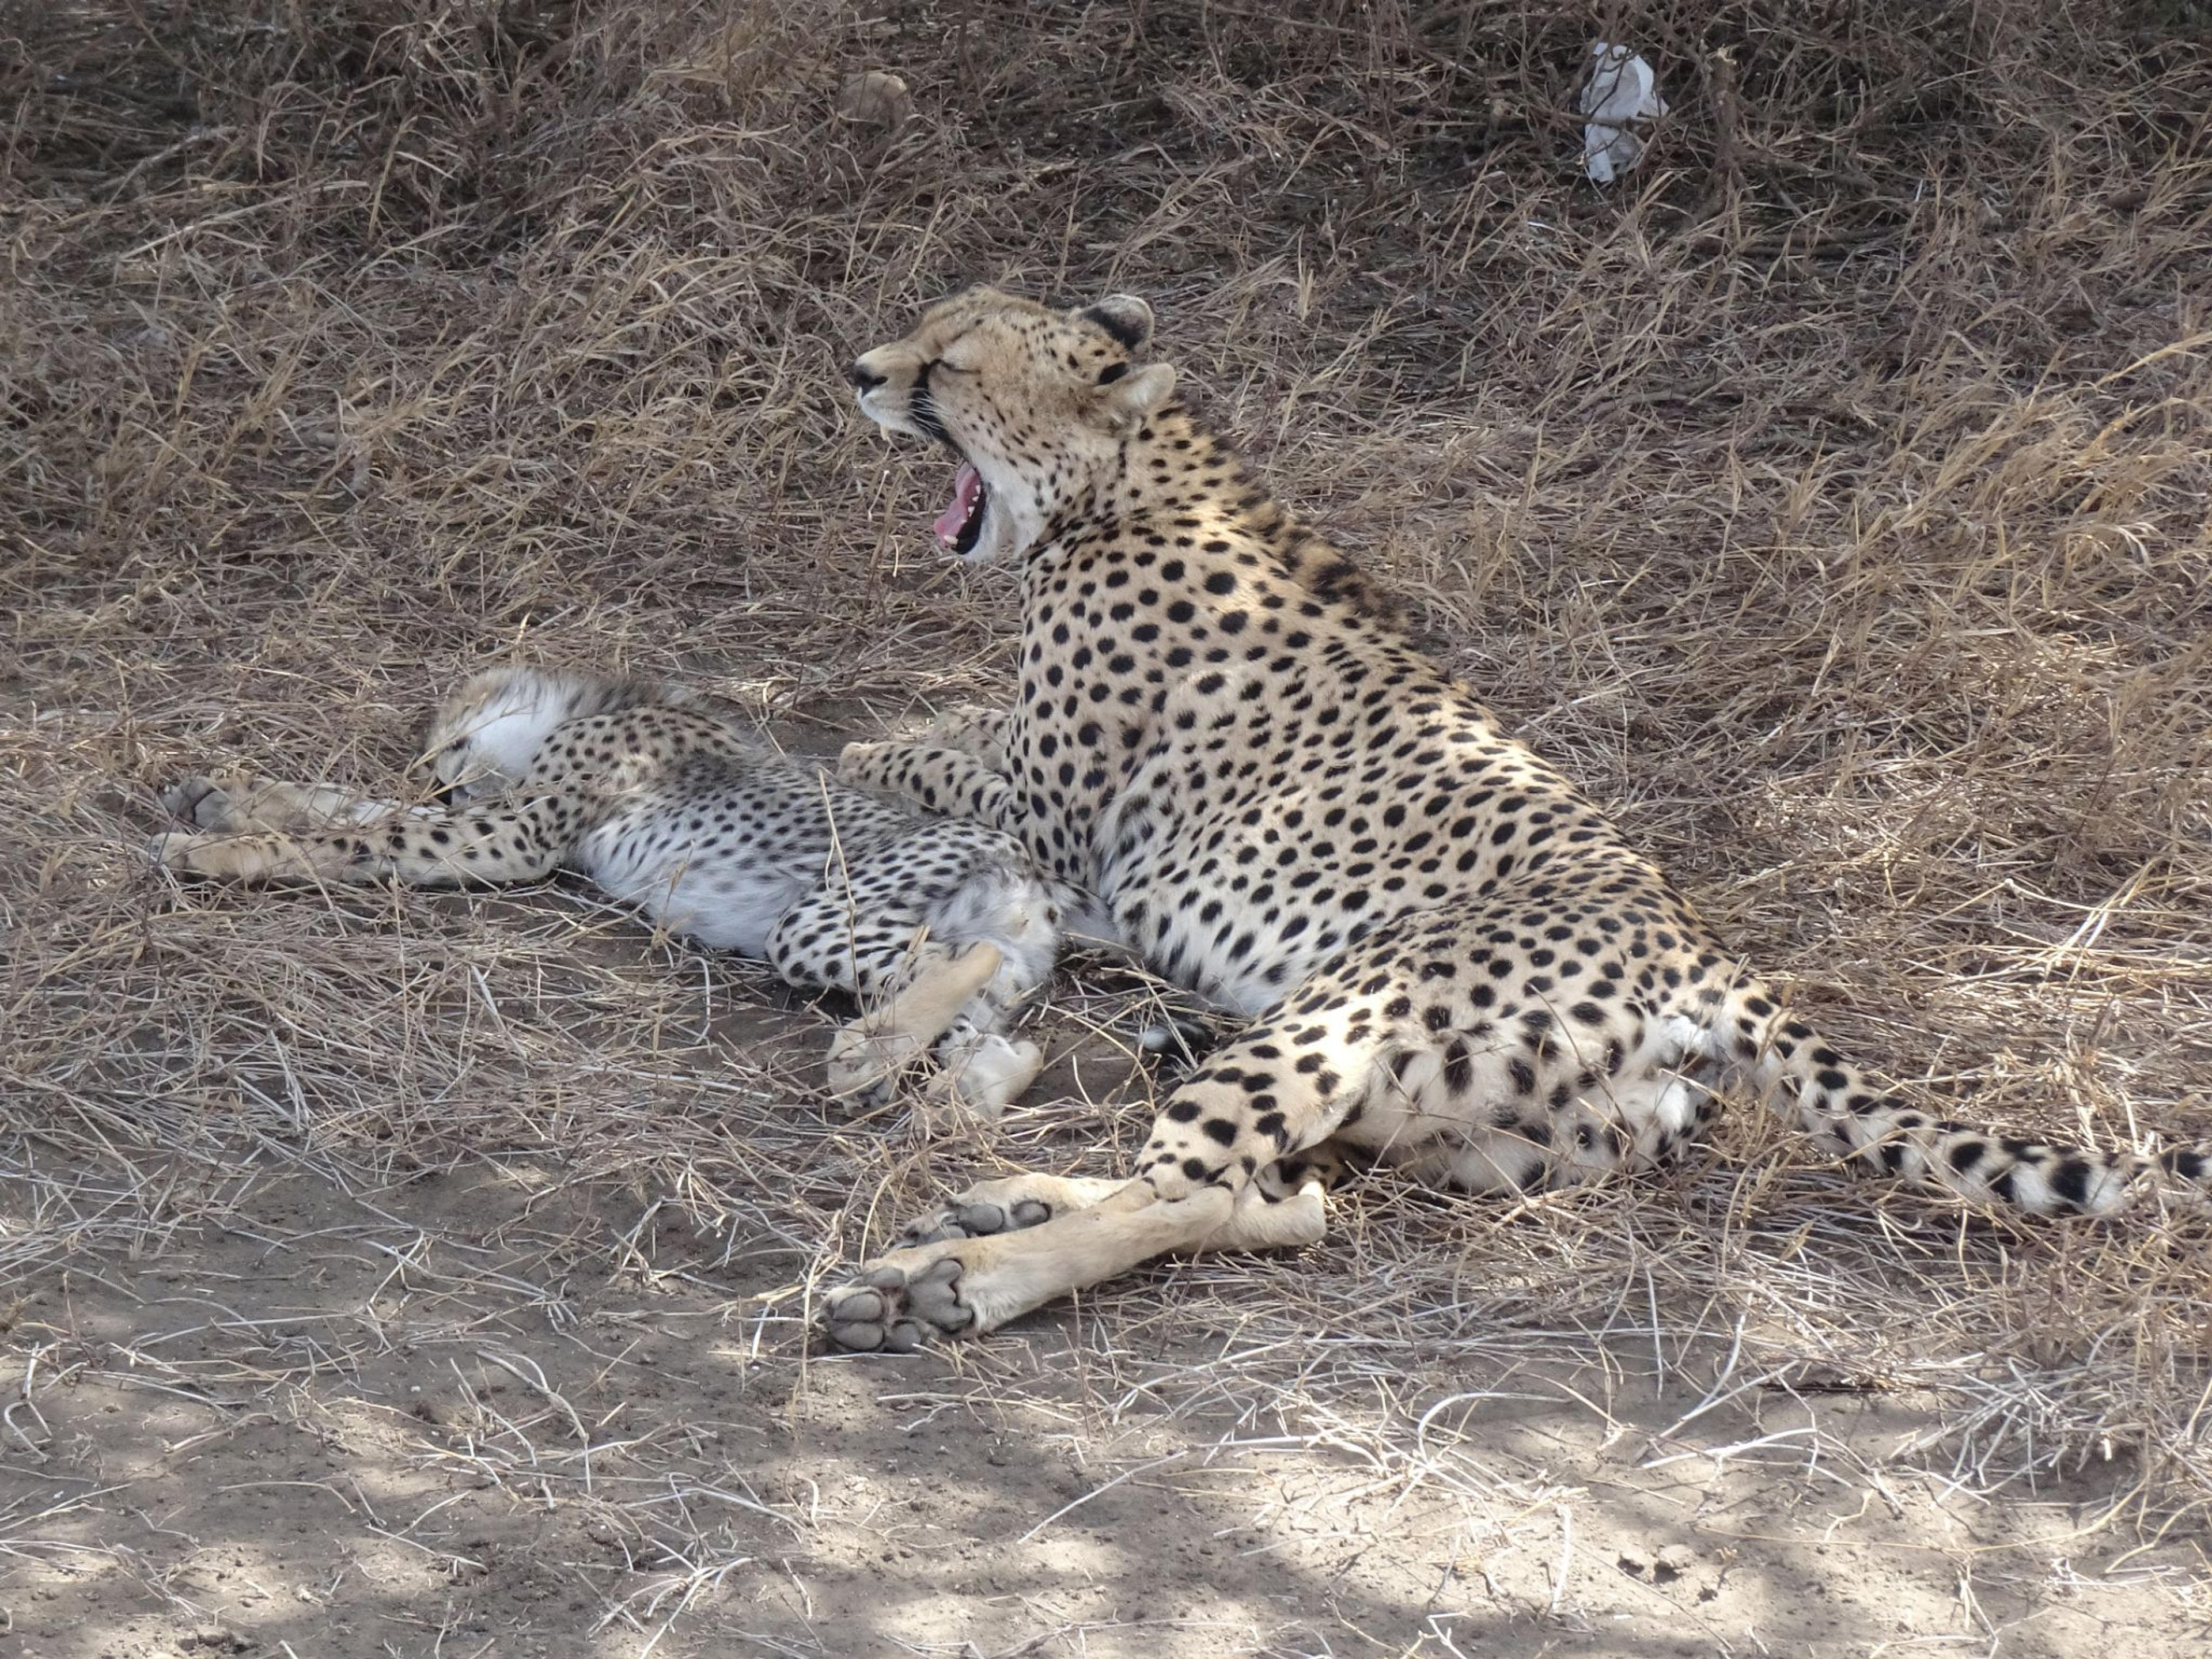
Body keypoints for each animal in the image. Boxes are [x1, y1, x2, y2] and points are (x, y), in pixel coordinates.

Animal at [146, 665, 1076, 1124]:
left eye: (446, 744)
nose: (441, 778)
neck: (587, 706)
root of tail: (1035, 889)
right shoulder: (496, 819)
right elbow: (361, 811)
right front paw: (224, 798)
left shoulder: (513, 836)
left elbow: (360, 839)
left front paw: (216, 848)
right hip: (953, 970)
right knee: (1001, 1038)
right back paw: (955, 1094)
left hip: (822, 914)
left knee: (956, 955)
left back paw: (868, 1059)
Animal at [818, 284, 2212, 1352]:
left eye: (951, 359)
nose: (863, 372)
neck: (1141, 480)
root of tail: (1706, 954)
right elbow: (966, 769)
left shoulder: (1057, 819)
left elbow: (933, 752)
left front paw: (865, 744)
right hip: (1490, 1136)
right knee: (1275, 1197)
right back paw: (995, 1210)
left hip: (1345, 1009)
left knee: (1188, 1192)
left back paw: (955, 1276)